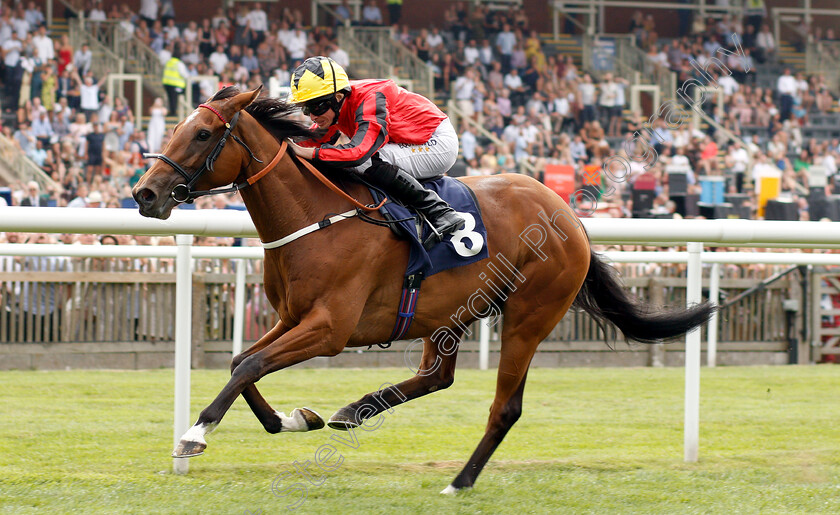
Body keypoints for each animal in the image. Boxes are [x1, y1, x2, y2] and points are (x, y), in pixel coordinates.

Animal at [133, 86, 716, 494]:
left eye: (203, 134)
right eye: (177, 127)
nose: (145, 194)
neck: (314, 217)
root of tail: (569, 216)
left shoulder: (329, 328)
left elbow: (251, 365)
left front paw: (194, 435)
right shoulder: (292, 318)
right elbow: (240, 363)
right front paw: (294, 419)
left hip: (528, 316)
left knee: (504, 407)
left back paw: (459, 481)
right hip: (451, 313)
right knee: (438, 376)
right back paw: (355, 410)